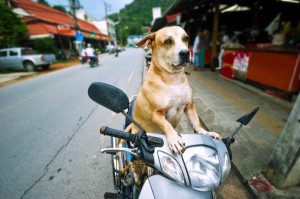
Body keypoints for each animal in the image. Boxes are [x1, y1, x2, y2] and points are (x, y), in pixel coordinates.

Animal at [123, 26, 220, 154]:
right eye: (168, 41)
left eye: (186, 38)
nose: (185, 52)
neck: (174, 80)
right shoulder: (157, 114)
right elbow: (166, 125)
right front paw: (174, 139)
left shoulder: (189, 106)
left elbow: (196, 123)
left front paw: (205, 132)